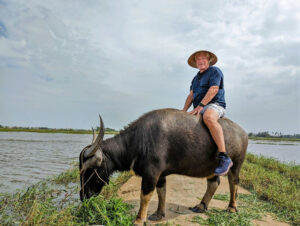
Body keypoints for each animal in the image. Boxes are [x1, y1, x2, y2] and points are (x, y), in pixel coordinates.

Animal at [78, 108, 247, 225]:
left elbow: (145, 195)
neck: (137, 141)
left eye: (89, 171)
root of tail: (243, 133)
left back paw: (232, 207)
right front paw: (158, 214)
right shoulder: (161, 175)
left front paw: (139, 220)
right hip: (212, 168)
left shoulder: (151, 173)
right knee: (214, 183)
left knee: (233, 183)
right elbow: (161, 192)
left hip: (236, 164)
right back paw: (201, 206)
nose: (84, 196)